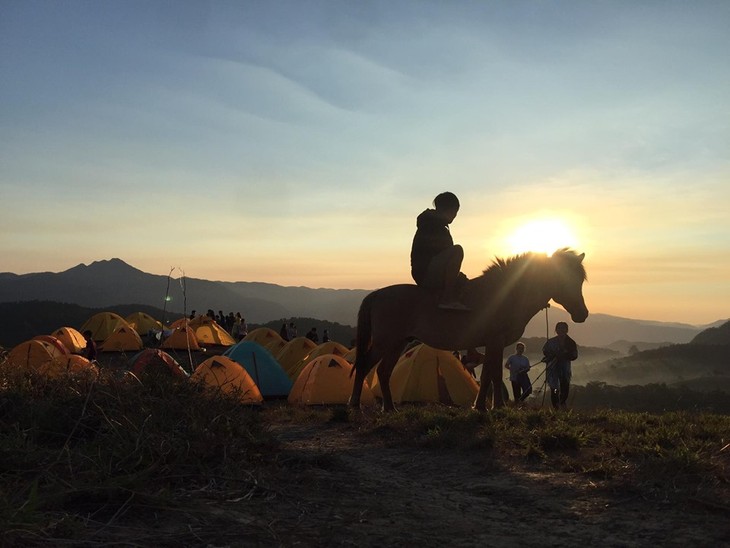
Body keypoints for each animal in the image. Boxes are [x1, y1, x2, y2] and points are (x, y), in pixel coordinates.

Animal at [346, 248, 584, 412]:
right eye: (565, 278)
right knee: (365, 365)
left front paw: (483, 406)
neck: (504, 294)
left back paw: (389, 408)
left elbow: (489, 374)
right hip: (384, 342)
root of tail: (376, 294)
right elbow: (494, 374)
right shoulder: (496, 341)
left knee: (383, 371)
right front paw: (494, 407)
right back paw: (356, 405)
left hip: (398, 343)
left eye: (580, 280)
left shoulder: (492, 344)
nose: (582, 314)